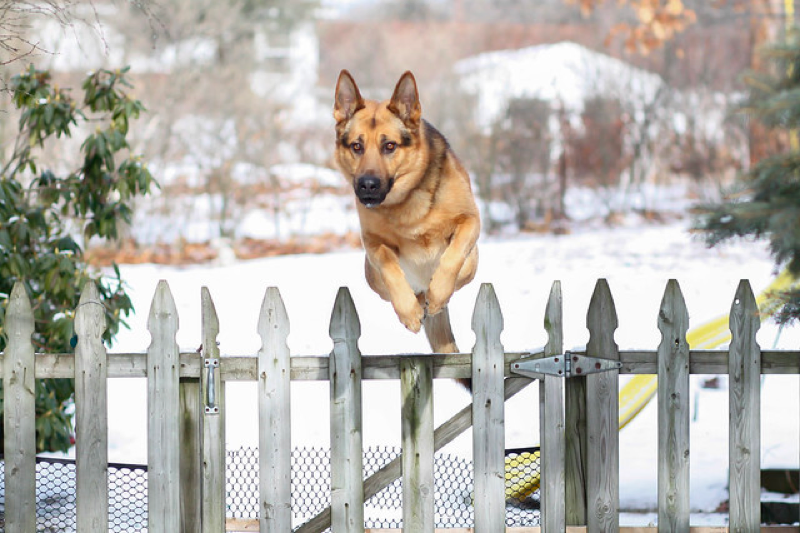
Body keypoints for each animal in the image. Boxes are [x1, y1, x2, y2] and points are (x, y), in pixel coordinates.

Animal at [332, 69, 478, 366]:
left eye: (390, 145)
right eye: (356, 146)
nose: (367, 186)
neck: (407, 202)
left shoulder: (470, 221)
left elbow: (451, 256)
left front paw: (438, 293)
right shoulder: (373, 244)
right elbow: (390, 267)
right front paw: (409, 311)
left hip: (472, 264)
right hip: (372, 277)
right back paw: (419, 301)